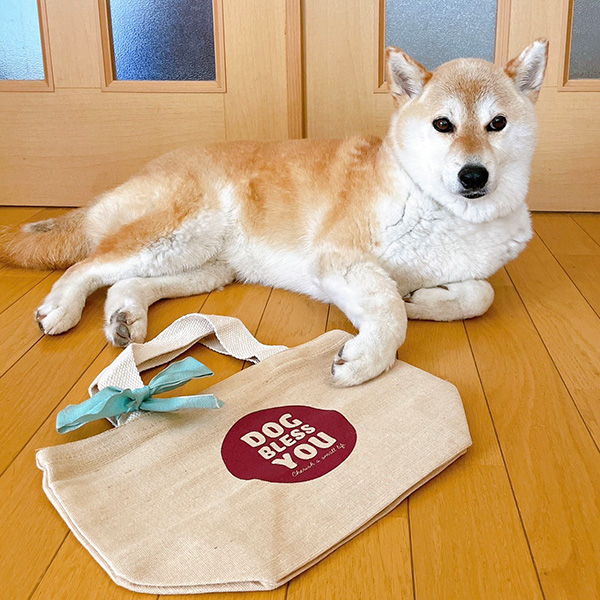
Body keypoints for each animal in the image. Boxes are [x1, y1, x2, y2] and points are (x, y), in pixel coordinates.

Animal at [0, 40, 548, 387]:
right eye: (443, 125)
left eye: (497, 123)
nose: (473, 176)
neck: (440, 210)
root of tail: (145, 169)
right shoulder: (337, 258)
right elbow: (389, 311)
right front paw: (370, 355)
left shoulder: (465, 270)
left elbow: (479, 295)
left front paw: (425, 299)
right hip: (178, 233)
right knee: (86, 266)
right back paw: (63, 308)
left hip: (206, 264)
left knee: (127, 282)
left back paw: (124, 315)